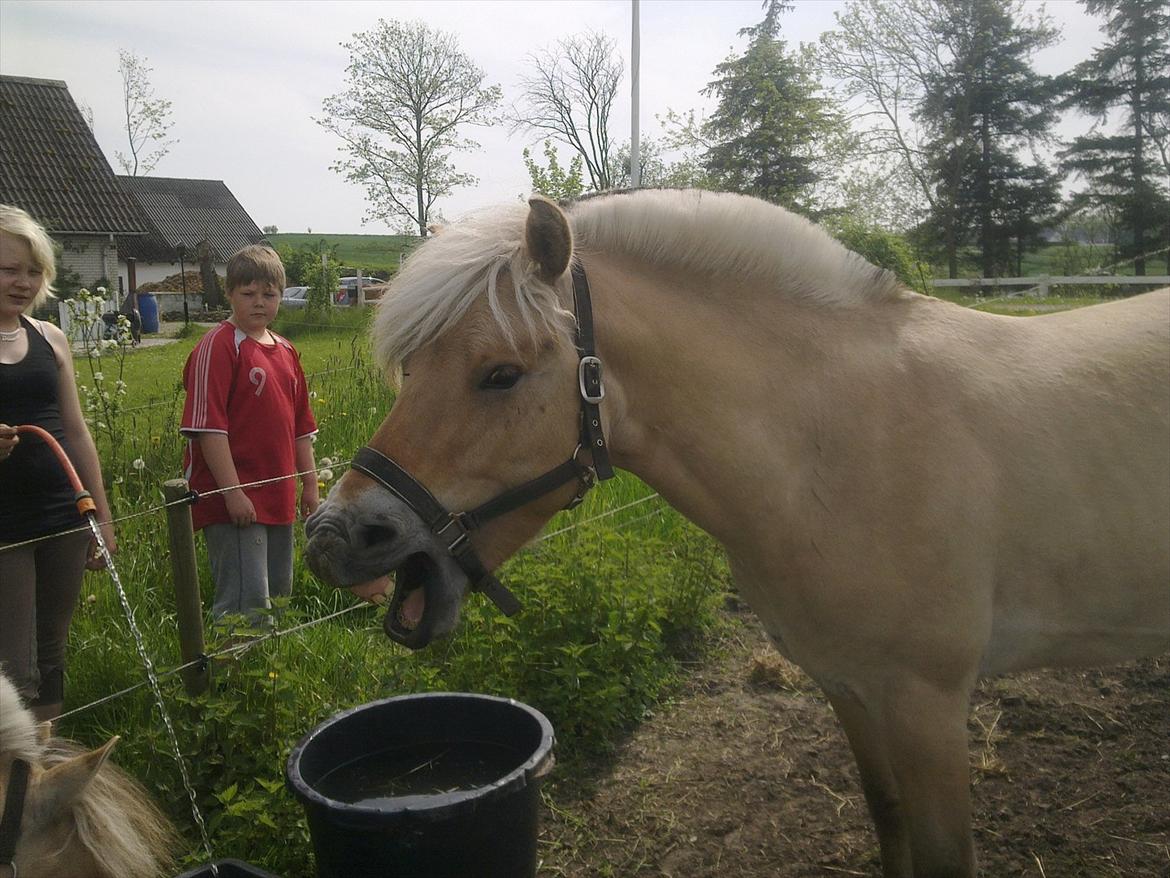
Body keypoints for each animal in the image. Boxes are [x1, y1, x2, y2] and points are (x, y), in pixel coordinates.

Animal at [304, 189, 1170, 875]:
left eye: (501, 375)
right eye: (411, 370)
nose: (334, 536)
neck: (841, 441)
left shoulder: (927, 703)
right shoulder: (852, 685)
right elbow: (887, 818)